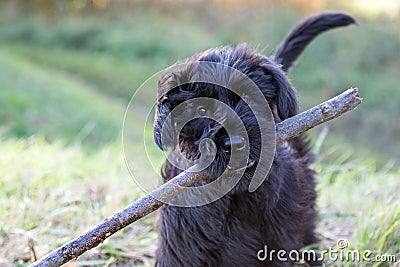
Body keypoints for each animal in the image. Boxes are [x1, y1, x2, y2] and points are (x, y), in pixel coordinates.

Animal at [154, 11, 356, 266]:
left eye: (249, 97)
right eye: (201, 109)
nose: (233, 143)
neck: (235, 197)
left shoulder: (279, 245)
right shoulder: (180, 249)